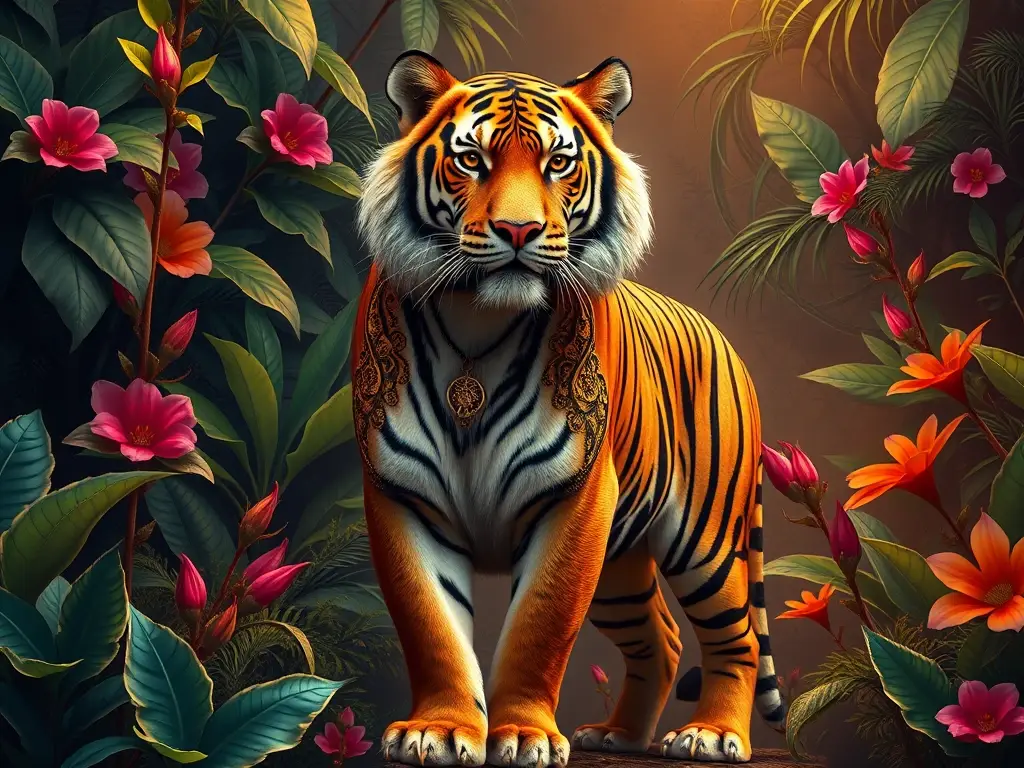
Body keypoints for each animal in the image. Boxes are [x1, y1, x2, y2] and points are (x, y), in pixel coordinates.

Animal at [350, 51, 786, 767]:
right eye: (471, 159)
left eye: (558, 162)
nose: (518, 230)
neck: (478, 324)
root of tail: (728, 344)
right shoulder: (400, 491)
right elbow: (431, 624)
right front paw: (439, 730)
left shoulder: (576, 499)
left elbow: (541, 624)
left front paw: (524, 736)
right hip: (620, 567)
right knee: (662, 641)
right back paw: (619, 736)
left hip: (706, 542)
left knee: (738, 636)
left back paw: (713, 734)